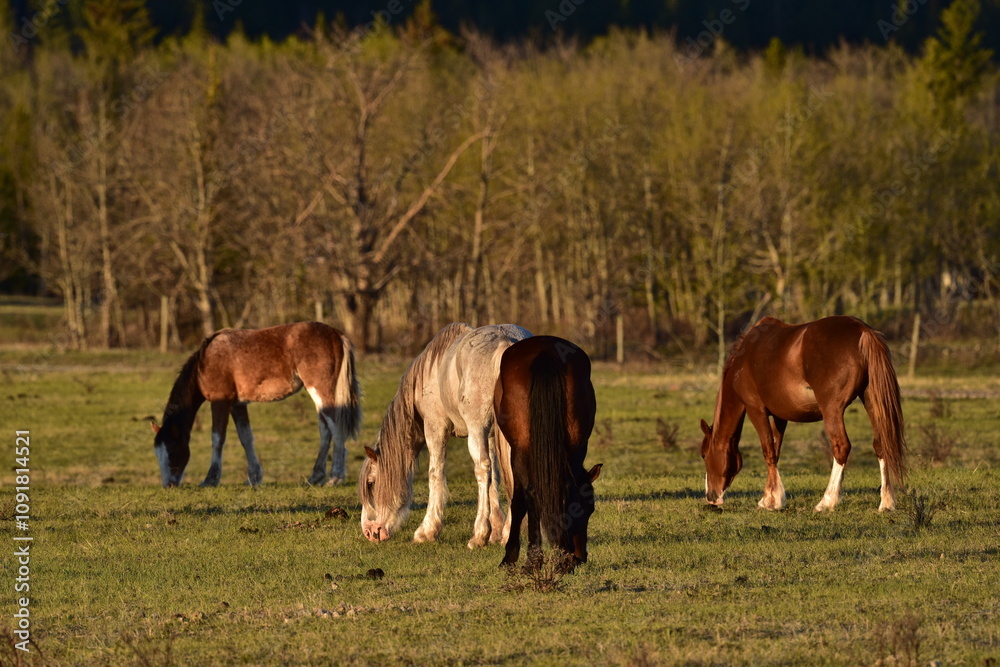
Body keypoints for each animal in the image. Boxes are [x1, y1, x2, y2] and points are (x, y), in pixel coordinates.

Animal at [151, 321, 361, 488]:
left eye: (172, 449)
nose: (168, 485)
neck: (205, 362)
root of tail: (335, 334)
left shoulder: (221, 401)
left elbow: (217, 438)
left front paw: (211, 479)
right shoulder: (237, 405)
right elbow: (246, 438)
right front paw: (254, 478)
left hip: (320, 390)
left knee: (335, 427)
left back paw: (335, 478)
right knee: (325, 430)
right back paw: (315, 477)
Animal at [358, 323, 531, 549]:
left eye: (371, 483)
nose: (369, 532)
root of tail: (506, 343)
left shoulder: (435, 429)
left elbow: (436, 474)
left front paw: (427, 531)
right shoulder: (492, 435)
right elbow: (497, 474)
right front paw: (498, 530)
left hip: (476, 430)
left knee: (481, 469)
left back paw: (478, 535)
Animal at [494, 336, 602, 570]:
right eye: (590, 508)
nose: (581, 556)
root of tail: (546, 350)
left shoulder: (516, 452)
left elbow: (519, 500)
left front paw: (512, 556)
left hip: (523, 448)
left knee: (533, 494)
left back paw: (537, 559)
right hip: (574, 445)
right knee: (565, 488)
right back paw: (562, 558)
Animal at [699, 315, 906, 512]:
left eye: (704, 455)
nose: (710, 497)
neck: (744, 359)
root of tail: (862, 330)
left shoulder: (755, 410)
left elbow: (767, 450)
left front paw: (772, 501)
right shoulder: (780, 416)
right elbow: (775, 451)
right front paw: (769, 497)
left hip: (832, 410)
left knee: (841, 447)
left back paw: (826, 502)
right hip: (872, 402)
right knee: (881, 444)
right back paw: (886, 503)